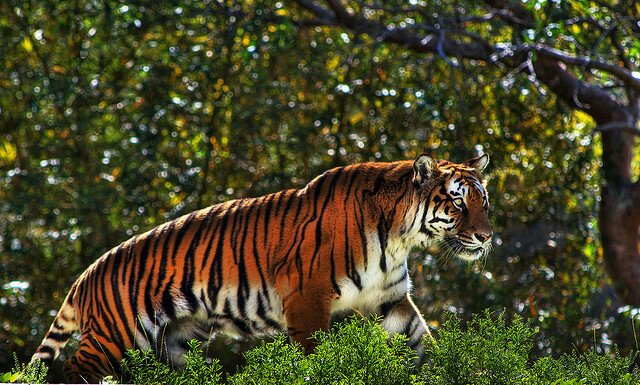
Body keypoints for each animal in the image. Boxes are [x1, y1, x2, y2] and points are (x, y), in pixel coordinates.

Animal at [30, 153, 492, 380]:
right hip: (116, 336)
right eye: (457, 201)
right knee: (70, 372)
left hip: (175, 344)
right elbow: (315, 357)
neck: (399, 237)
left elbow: (423, 340)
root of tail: (84, 276)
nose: (486, 237)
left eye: (483, 201)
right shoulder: (307, 299)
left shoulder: (390, 300)